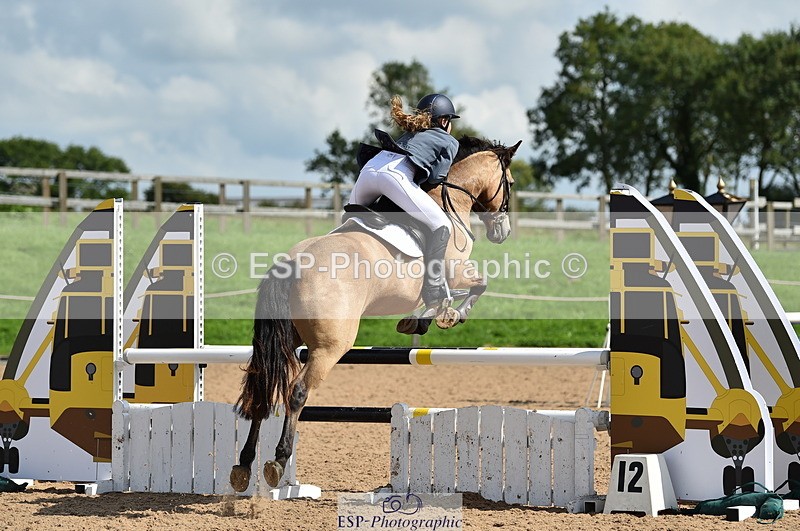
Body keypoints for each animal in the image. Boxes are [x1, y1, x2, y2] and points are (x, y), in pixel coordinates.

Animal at [229, 136, 522, 491]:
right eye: (510, 183)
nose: (502, 233)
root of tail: (292, 262)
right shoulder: (455, 273)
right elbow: (476, 285)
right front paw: (446, 317)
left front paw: (420, 319)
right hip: (330, 347)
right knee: (297, 392)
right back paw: (278, 461)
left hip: (287, 339)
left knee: (264, 388)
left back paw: (244, 465)